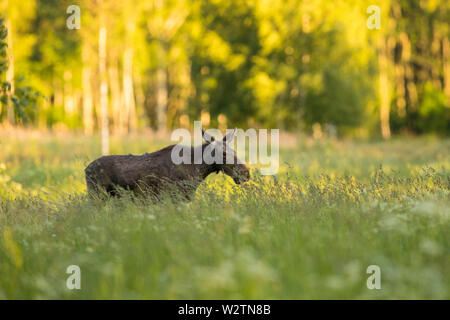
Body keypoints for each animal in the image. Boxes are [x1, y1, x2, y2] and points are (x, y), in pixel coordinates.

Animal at [84, 128, 250, 200]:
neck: (198, 170)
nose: (246, 173)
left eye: (234, 150)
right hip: (97, 195)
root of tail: (85, 169)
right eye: (224, 153)